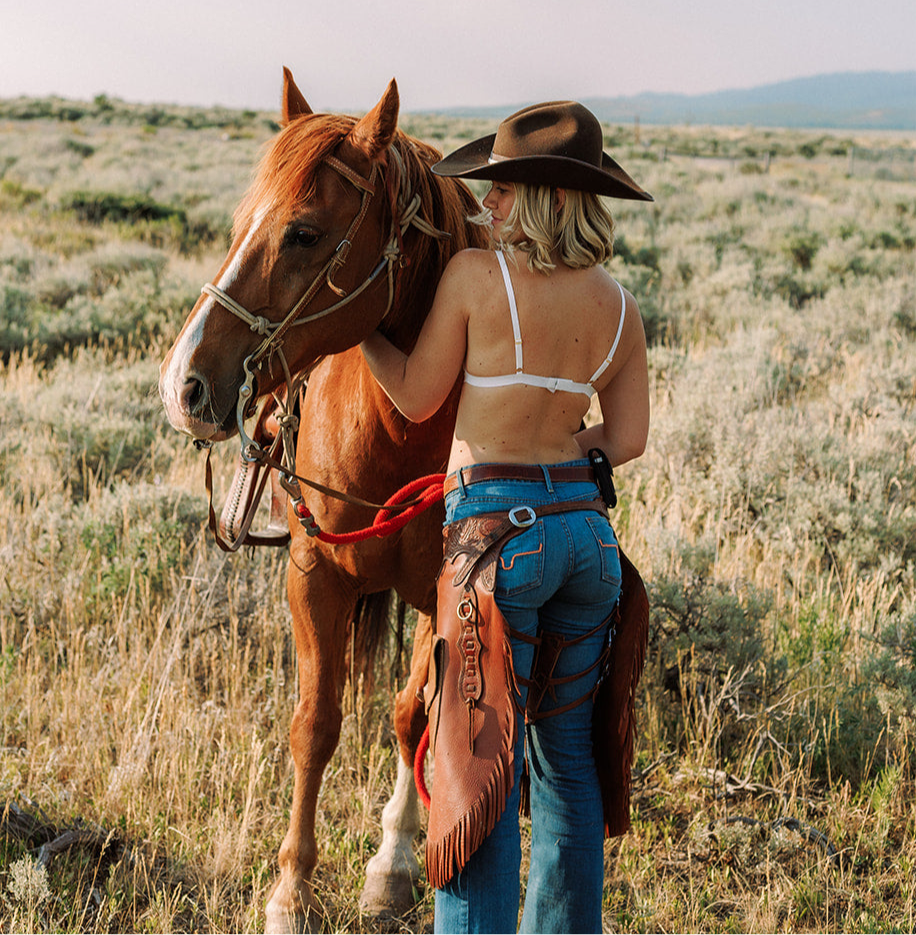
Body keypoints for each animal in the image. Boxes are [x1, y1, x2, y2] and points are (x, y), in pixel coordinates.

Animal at [159, 69, 486, 932]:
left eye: (303, 232)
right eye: (239, 223)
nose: (183, 385)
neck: (400, 430)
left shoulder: (445, 589)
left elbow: (414, 716)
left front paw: (392, 866)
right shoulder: (314, 574)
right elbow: (315, 725)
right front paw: (290, 890)